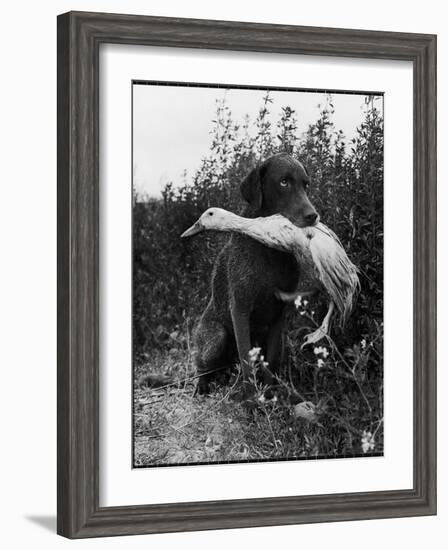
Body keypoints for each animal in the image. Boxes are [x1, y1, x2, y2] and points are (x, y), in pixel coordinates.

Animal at [189, 153, 318, 394]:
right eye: (284, 182)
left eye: (306, 185)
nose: (313, 215)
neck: (269, 250)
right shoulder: (240, 309)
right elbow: (247, 360)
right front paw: (251, 398)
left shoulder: (279, 313)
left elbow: (272, 358)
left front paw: (270, 392)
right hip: (216, 337)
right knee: (203, 367)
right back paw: (202, 386)